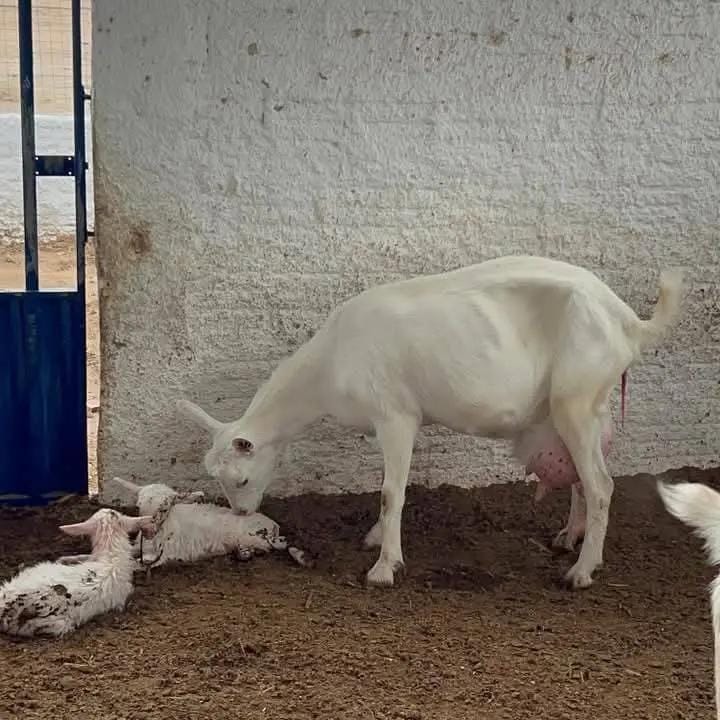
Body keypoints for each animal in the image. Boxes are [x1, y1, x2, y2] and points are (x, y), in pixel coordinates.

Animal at [112, 477, 287, 566]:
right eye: (138, 506)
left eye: (164, 508)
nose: (148, 531)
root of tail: (273, 524)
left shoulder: (162, 555)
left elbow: (134, 564)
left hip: (258, 537)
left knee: (279, 544)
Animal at [177, 255, 683, 589]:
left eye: (242, 479)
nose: (243, 515)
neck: (330, 363)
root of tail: (628, 321)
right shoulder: (392, 422)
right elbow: (389, 486)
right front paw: (376, 539)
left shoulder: (396, 415)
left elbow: (390, 492)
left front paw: (385, 567)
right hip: (581, 406)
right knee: (583, 475)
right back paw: (569, 538)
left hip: (576, 397)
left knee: (601, 485)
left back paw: (581, 571)